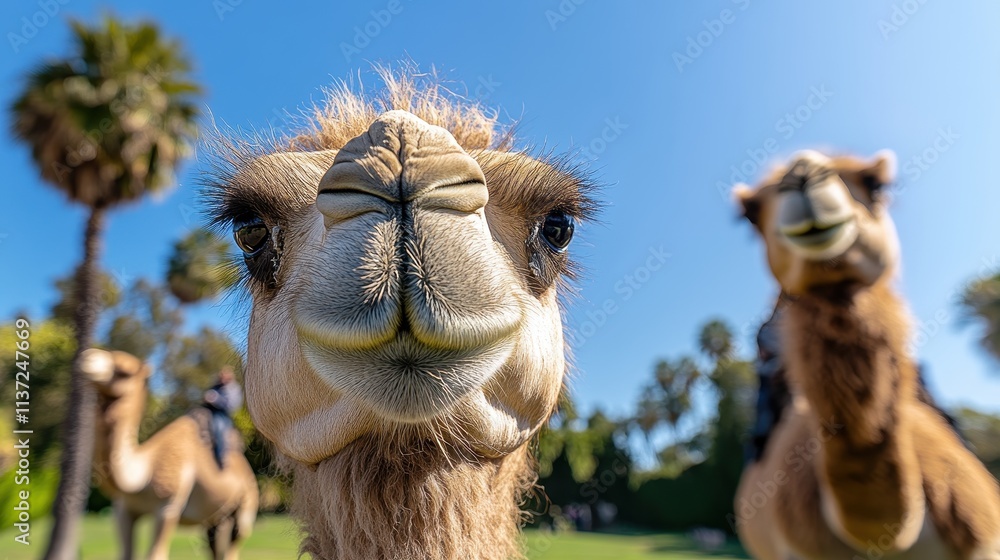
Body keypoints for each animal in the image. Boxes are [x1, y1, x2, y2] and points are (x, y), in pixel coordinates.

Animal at [80, 348, 259, 560]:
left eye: (125, 372)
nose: (88, 356)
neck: (144, 475)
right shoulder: (123, 509)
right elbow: (125, 553)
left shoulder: (167, 508)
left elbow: (156, 554)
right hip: (217, 516)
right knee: (214, 543)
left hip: (247, 504)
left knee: (236, 538)